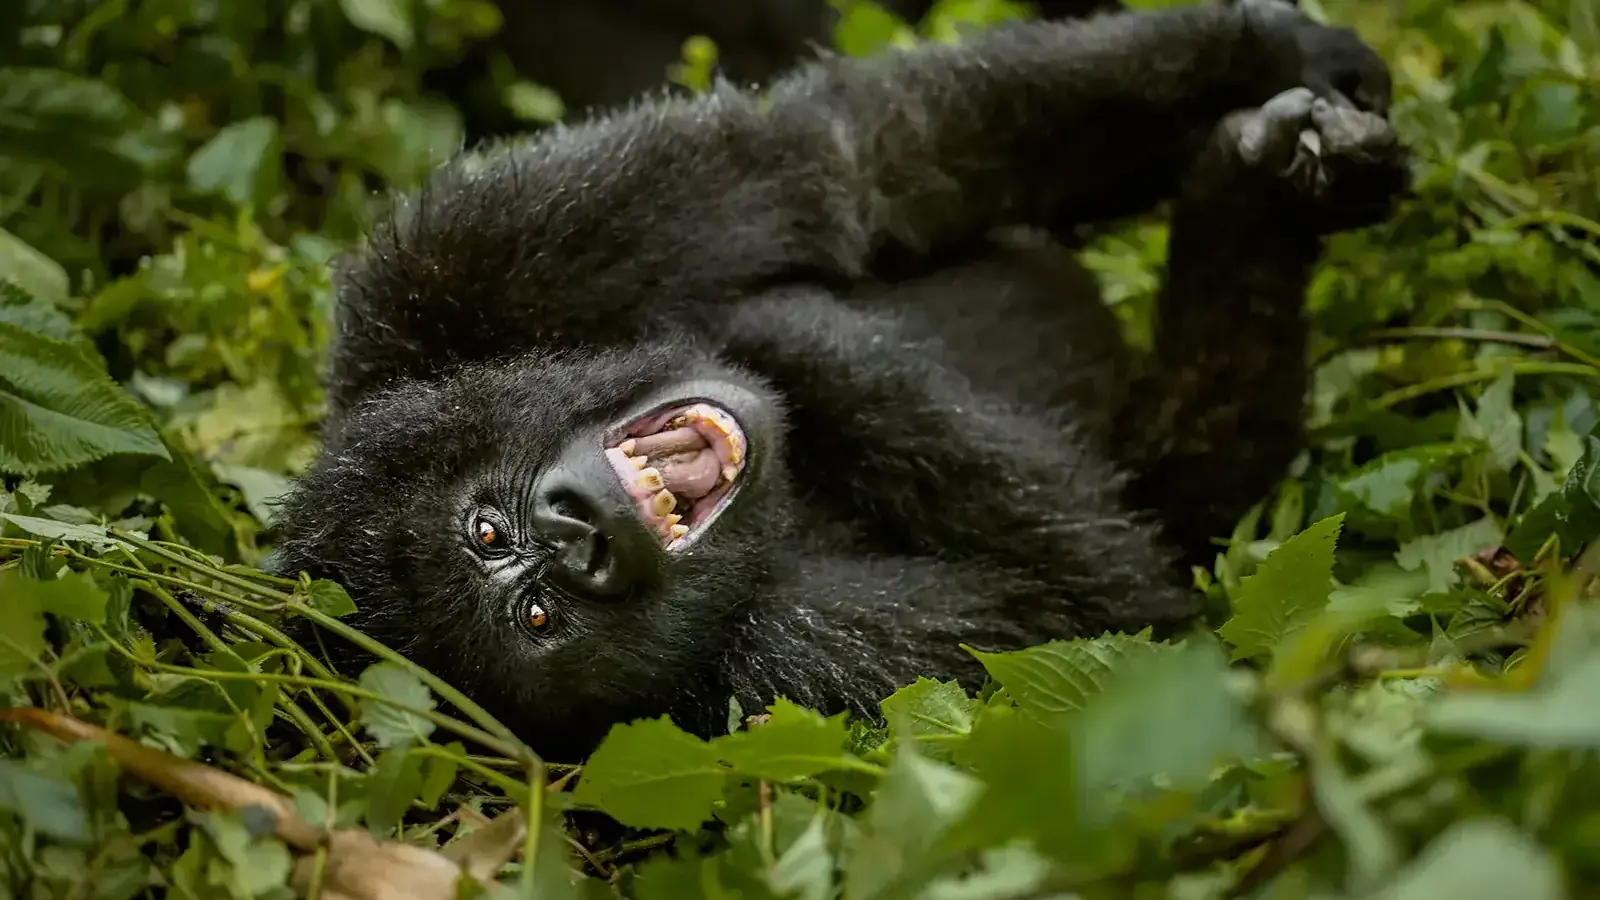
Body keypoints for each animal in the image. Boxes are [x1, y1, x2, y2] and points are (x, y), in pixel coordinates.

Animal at [269, 0, 1408, 762]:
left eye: (489, 528)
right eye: (537, 620)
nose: (578, 534)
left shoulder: (453, 269)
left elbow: (847, 163)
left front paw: (1271, 51)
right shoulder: (781, 676)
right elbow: (1114, 614)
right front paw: (806, 350)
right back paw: (1249, 214)